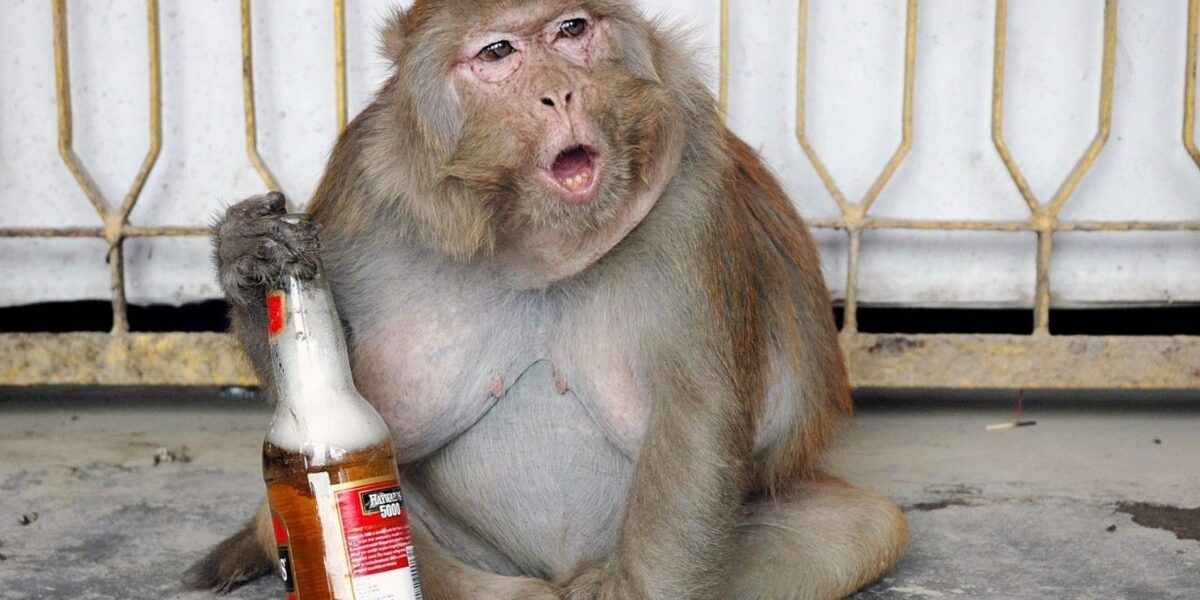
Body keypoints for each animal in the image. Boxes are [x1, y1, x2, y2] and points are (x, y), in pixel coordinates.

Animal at [185, 1, 907, 599]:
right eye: (499, 51)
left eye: (572, 29)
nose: (559, 93)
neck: (534, 243)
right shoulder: (364, 182)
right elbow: (335, 383)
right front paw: (251, 261)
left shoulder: (693, 191)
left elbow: (698, 418)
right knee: (275, 515)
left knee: (862, 529)